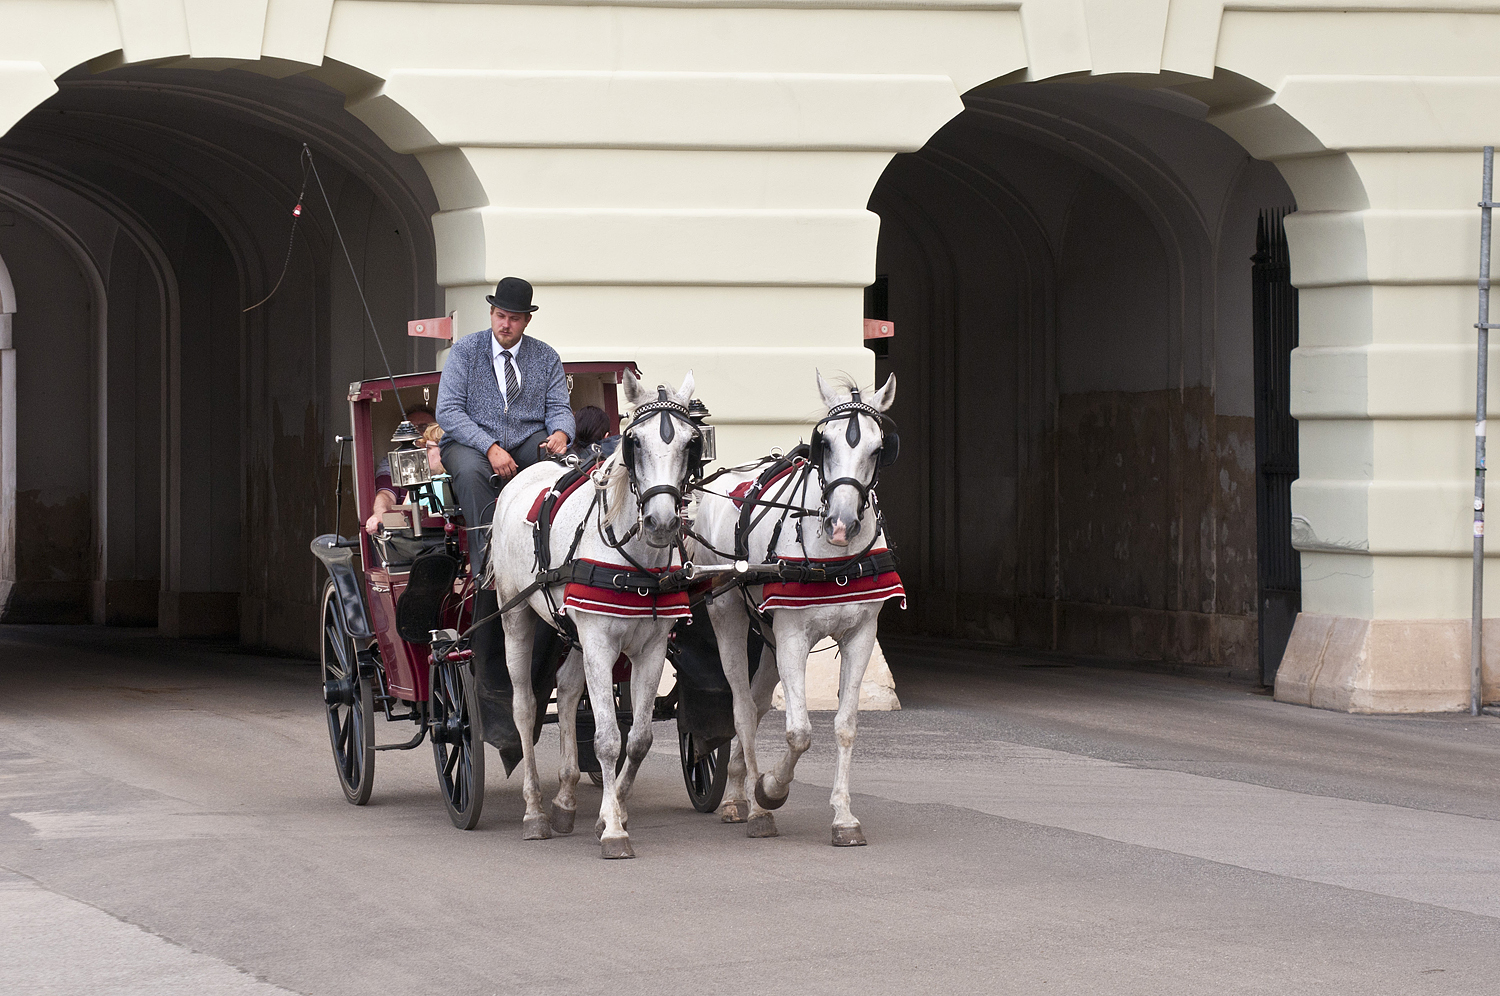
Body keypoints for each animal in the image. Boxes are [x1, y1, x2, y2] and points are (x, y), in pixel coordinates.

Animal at [489, 369, 705, 858]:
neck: (635, 563)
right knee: (525, 708)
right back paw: (534, 811)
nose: (662, 522)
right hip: (518, 617)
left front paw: (613, 810)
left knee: (569, 693)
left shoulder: (650, 648)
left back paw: (566, 799)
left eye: (691, 442)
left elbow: (639, 740)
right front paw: (614, 832)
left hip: (572, 630)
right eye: (634, 442)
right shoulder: (601, 644)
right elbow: (607, 739)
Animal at [693, 369, 900, 846]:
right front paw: (770, 789)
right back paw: (749, 804)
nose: (841, 525)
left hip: (769, 638)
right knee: (742, 707)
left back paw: (738, 789)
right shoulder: (792, 636)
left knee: (756, 703)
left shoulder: (861, 635)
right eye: (825, 443)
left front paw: (843, 817)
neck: (833, 558)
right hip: (729, 616)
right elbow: (800, 731)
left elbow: (845, 725)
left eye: (878, 448)